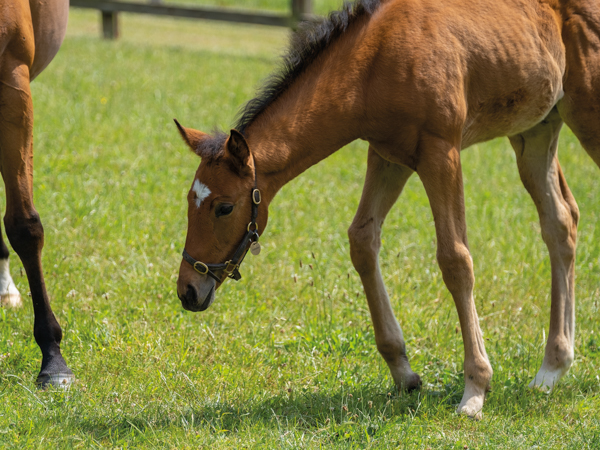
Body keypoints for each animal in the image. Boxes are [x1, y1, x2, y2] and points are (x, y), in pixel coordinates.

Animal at [175, 0, 600, 418]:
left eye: (224, 207)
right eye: (189, 202)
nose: (188, 291)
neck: (376, 61)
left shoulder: (441, 152)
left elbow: (455, 260)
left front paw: (475, 389)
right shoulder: (388, 155)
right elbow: (362, 240)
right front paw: (403, 373)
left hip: (585, 118)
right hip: (535, 130)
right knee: (561, 222)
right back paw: (551, 369)